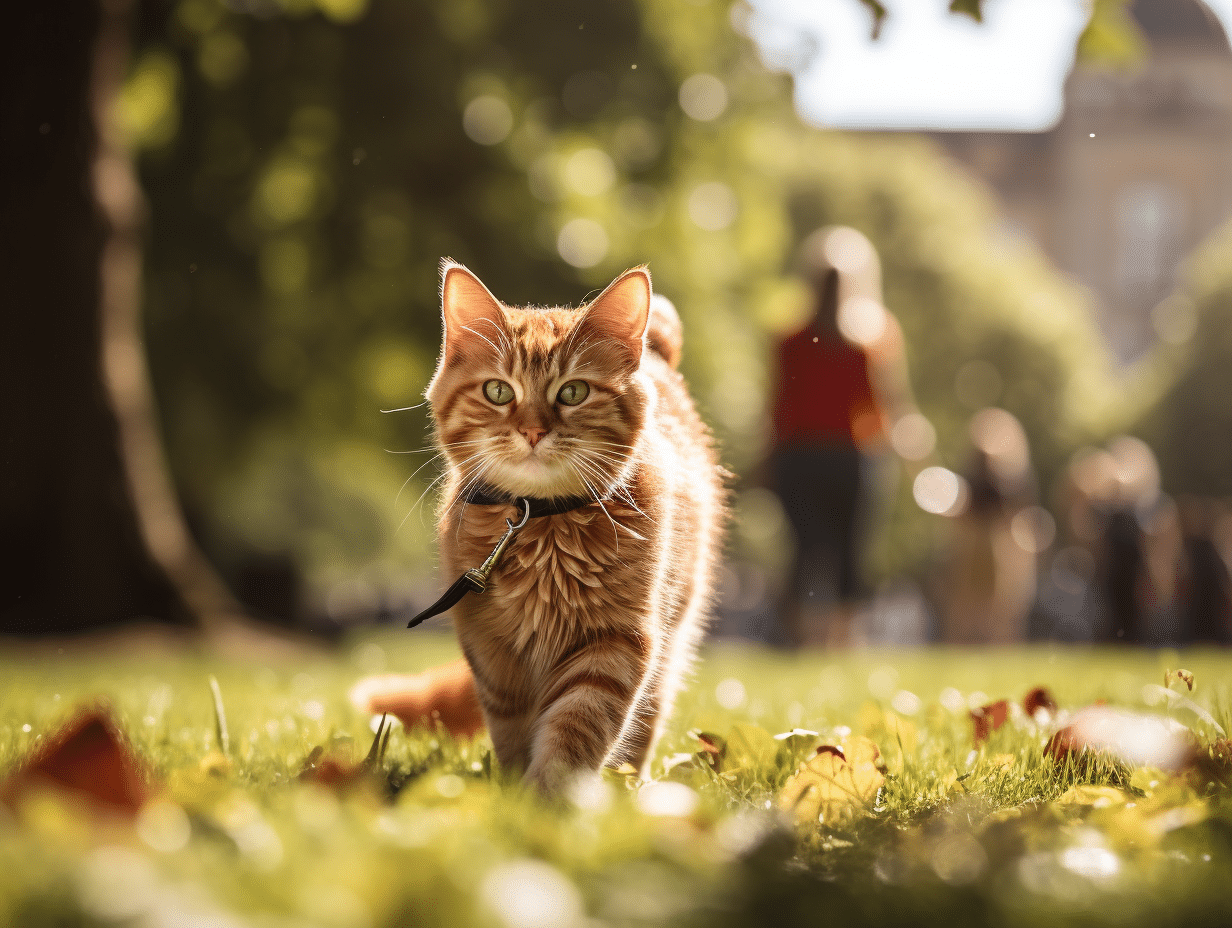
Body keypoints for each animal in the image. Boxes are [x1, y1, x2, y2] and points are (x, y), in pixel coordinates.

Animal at [379, 261, 724, 788]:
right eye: (498, 391)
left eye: (573, 392)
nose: (533, 431)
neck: (540, 525)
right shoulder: (492, 650)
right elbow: (512, 729)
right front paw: (512, 793)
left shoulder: (615, 643)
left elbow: (574, 730)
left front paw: (547, 797)